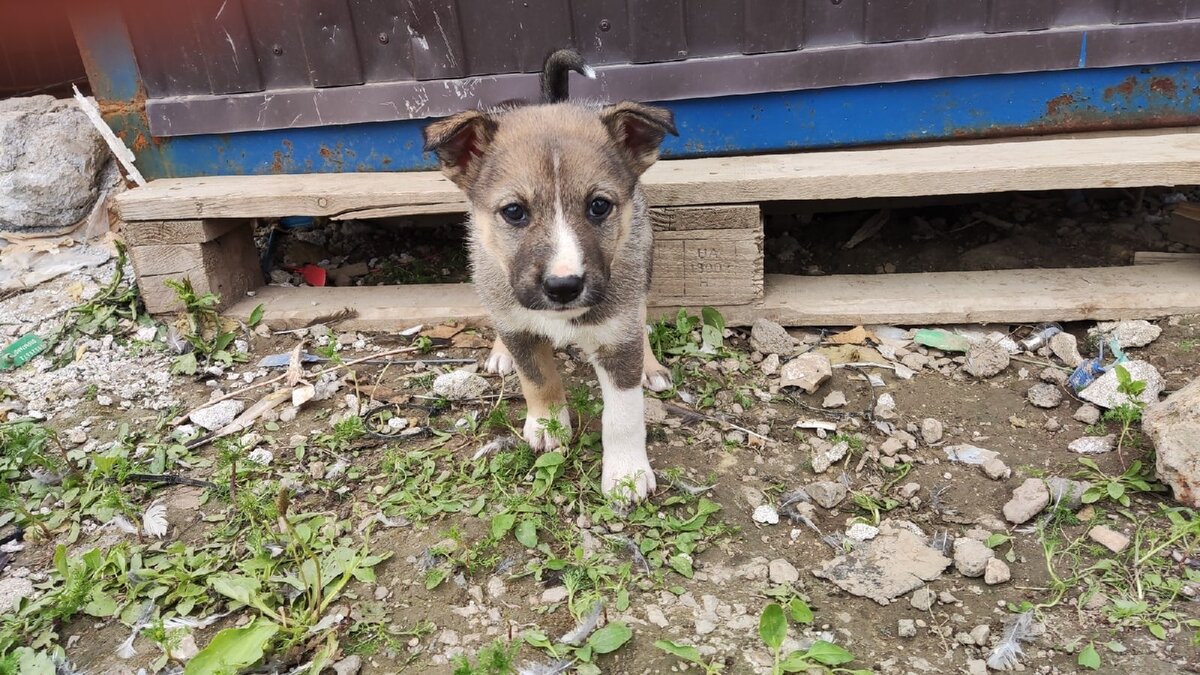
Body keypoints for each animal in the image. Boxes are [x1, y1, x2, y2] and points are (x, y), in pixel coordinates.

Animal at [427, 48, 681, 499]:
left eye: (599, 206)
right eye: (514, 211)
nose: (564, 287)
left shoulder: (618, 336)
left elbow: (624, 413)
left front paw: (626, 473)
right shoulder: (519, 325)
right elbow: (538, 377)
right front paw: (547, 426)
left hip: (644, 261)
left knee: (643, 314)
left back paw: (650, 366)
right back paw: (499, 353)